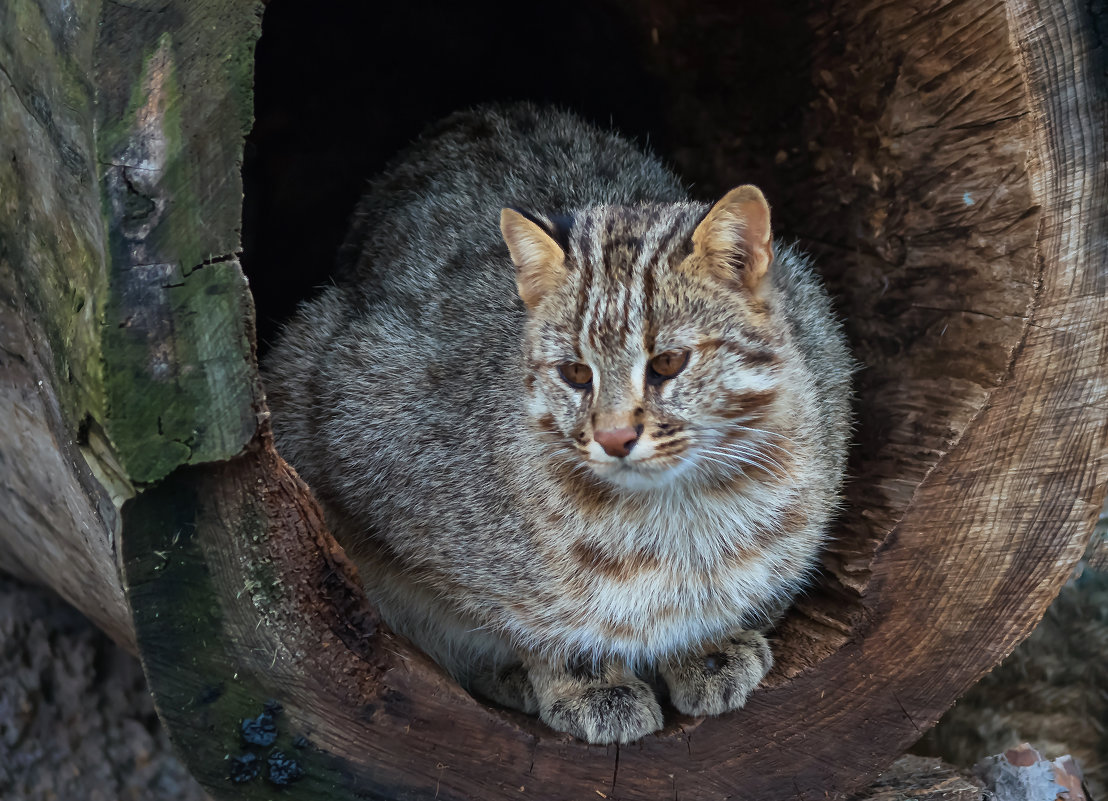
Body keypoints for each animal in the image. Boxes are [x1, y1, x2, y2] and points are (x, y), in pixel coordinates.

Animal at [259, 101, 846, 744]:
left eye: (668, 363)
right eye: (575, 373)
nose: (614, 438)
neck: (679, 505)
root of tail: (483, 111)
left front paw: (708, 649)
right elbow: (525, 615)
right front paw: (586, 681)